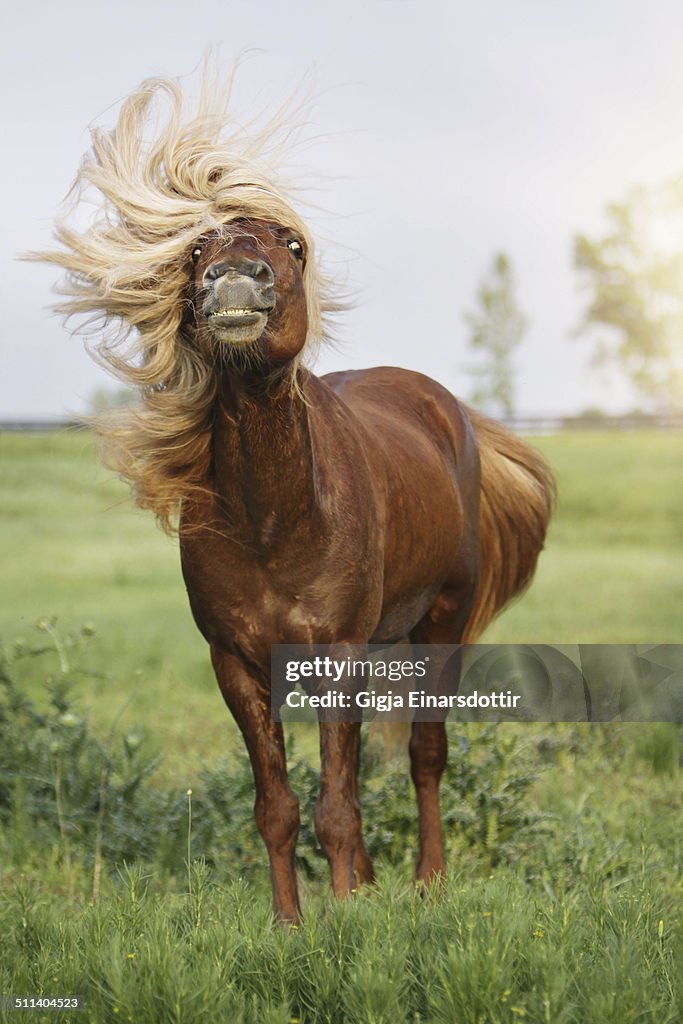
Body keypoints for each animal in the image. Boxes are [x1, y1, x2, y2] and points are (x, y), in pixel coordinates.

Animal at [34, 71, 554, 922]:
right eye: (199, 248)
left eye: (293, 246)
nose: (235, 281)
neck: (275, 523)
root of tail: (443, 406)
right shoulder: (239, 662)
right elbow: (279, 803)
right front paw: (291, 922)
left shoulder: (337, 651)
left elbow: (335, 801)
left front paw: (341, 919)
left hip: (440, 623)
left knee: (424, 752)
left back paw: (426, 881)